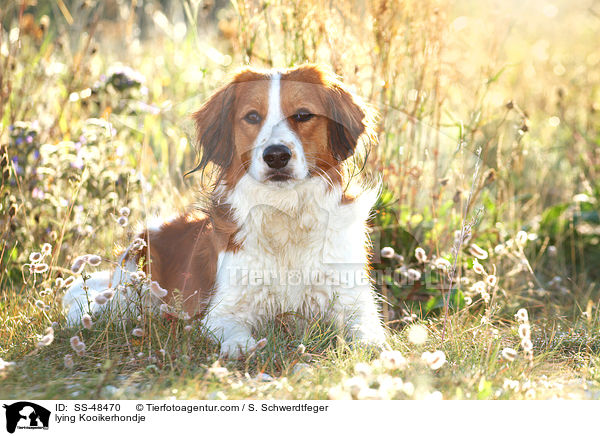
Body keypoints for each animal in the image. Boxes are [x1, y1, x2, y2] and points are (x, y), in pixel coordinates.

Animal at [64, 64, 384, 358]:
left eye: (303, 115)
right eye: (252, 117)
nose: (276, 156)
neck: (284, 213)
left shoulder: (354, 303)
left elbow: (371, 336)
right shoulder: (222, 310)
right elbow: (233, 331)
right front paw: (242, 346)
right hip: (132, 287)